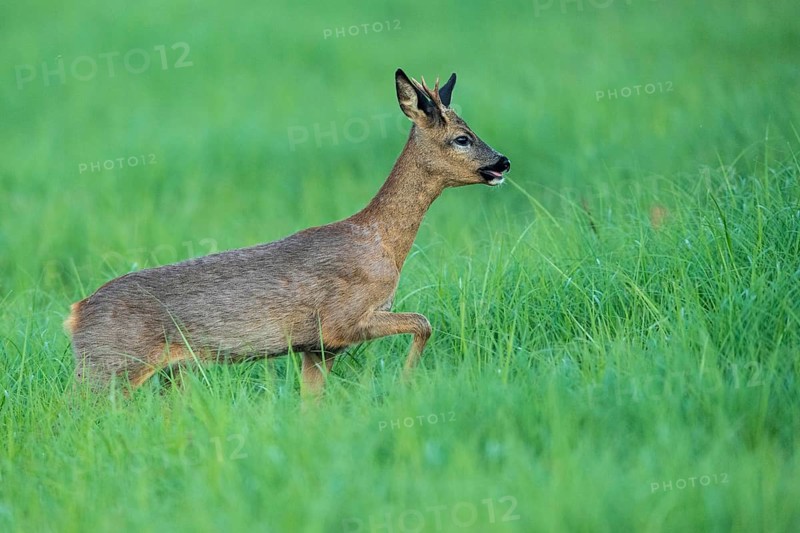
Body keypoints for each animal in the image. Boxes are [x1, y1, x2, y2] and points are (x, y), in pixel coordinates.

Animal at [64, 68, 511, 398]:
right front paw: (406, 382)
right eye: (462, 138)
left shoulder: (318, 348)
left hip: (160, 373)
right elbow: (424, 321)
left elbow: (311, 404)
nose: (503, 162)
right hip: (111, 367)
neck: (381, 243)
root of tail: (75, 313)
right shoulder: (340, 323)